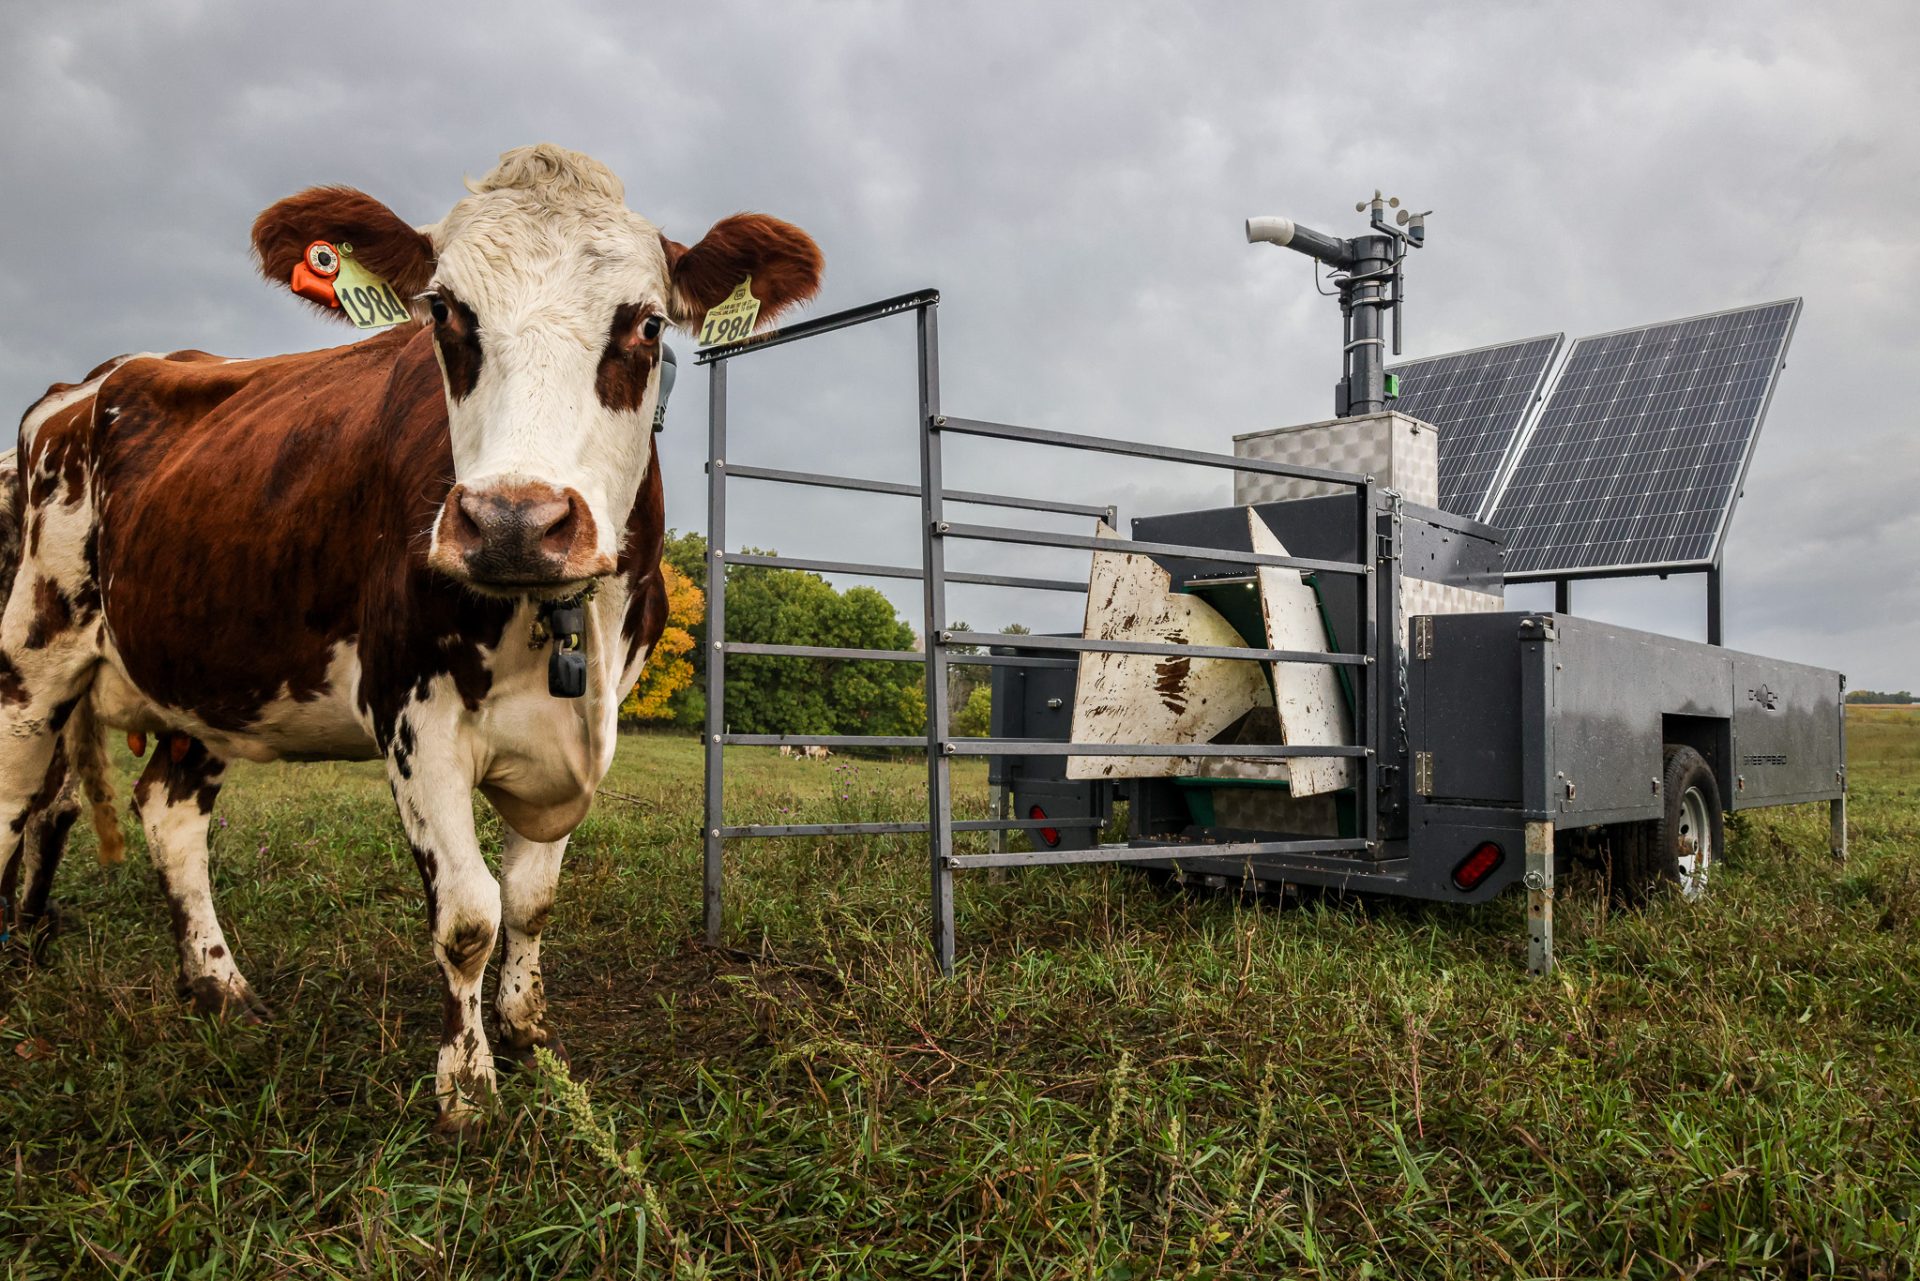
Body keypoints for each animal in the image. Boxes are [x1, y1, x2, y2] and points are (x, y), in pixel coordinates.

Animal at [0, 144, 822, 1133]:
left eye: (647, 322)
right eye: (444, 312)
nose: (514, 520)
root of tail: (92, 383)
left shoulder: (599, 715)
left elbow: (533, 898)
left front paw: (526, 1028)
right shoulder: (410, 714)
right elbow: (469, 913)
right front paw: (466, 1085)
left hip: (213, 671)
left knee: (168, 811)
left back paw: (218, 985)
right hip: (35, 647)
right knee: (17, 798)